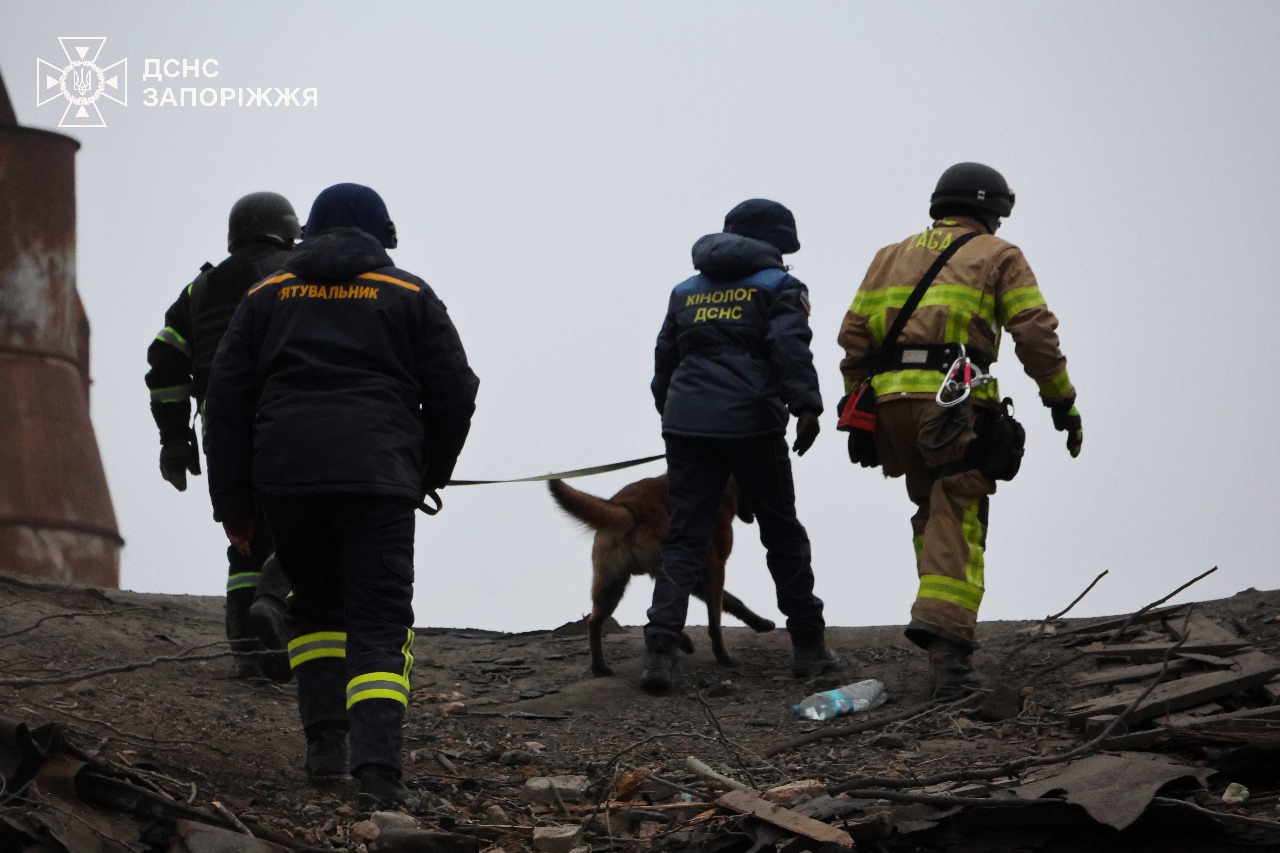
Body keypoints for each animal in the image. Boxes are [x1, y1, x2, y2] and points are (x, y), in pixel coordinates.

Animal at [547, 468, 773, 676]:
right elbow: (715, 619)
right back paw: (688, 644)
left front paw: (760, 623)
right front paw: (723, 655)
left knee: (597, 622)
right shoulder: (715, 568)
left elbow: (734, 602)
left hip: (612, 585)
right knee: (656, 612)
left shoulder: (703, 578)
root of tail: (630, 508)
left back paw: (600, 667)